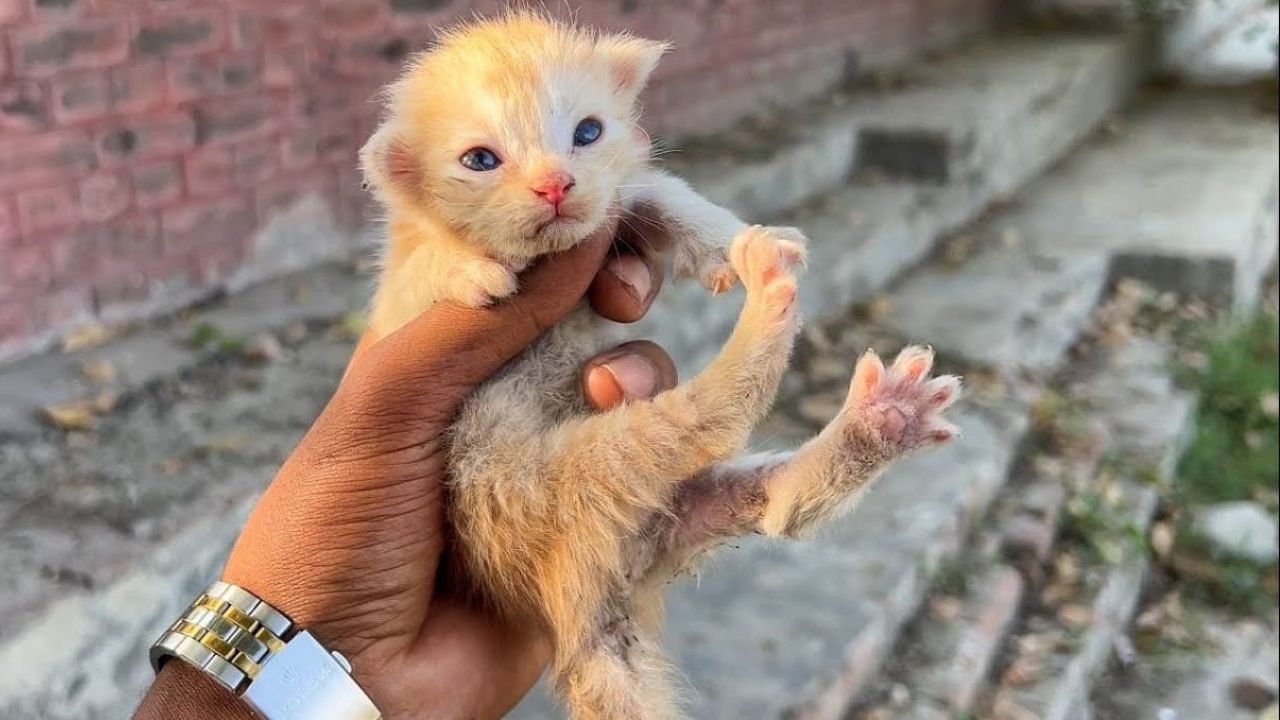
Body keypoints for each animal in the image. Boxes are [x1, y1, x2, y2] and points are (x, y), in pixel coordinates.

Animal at [360, 12, 962, 717]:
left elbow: (652, 188)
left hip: (671, 507)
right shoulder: (400, 304)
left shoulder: (621, 199)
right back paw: (773, 300)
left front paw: (727, 237)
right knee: (711, 414)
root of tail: (582, 599)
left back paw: (881, 415)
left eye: (587, 132)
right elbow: (431, 263)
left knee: (780, 507)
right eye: (480, 160)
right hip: (551, 477)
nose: (555, 185)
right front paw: (477, 270)